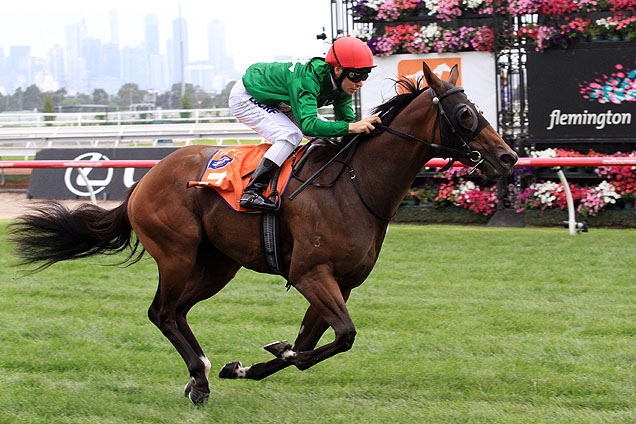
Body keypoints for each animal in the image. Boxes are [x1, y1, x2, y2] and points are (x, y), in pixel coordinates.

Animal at [8, 62, 516, 404]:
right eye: (465, 114)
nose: (508, 157)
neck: (354, 186)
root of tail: (146, 178)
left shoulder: (342, 282)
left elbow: (314, 343)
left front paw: (246, 366)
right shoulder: (311, 273)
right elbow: (339, 337)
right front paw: (269, 354)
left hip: (217, 265)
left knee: (178, 311)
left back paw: (202, 372)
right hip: (176, 253)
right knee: (161, 312)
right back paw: (199, 376)